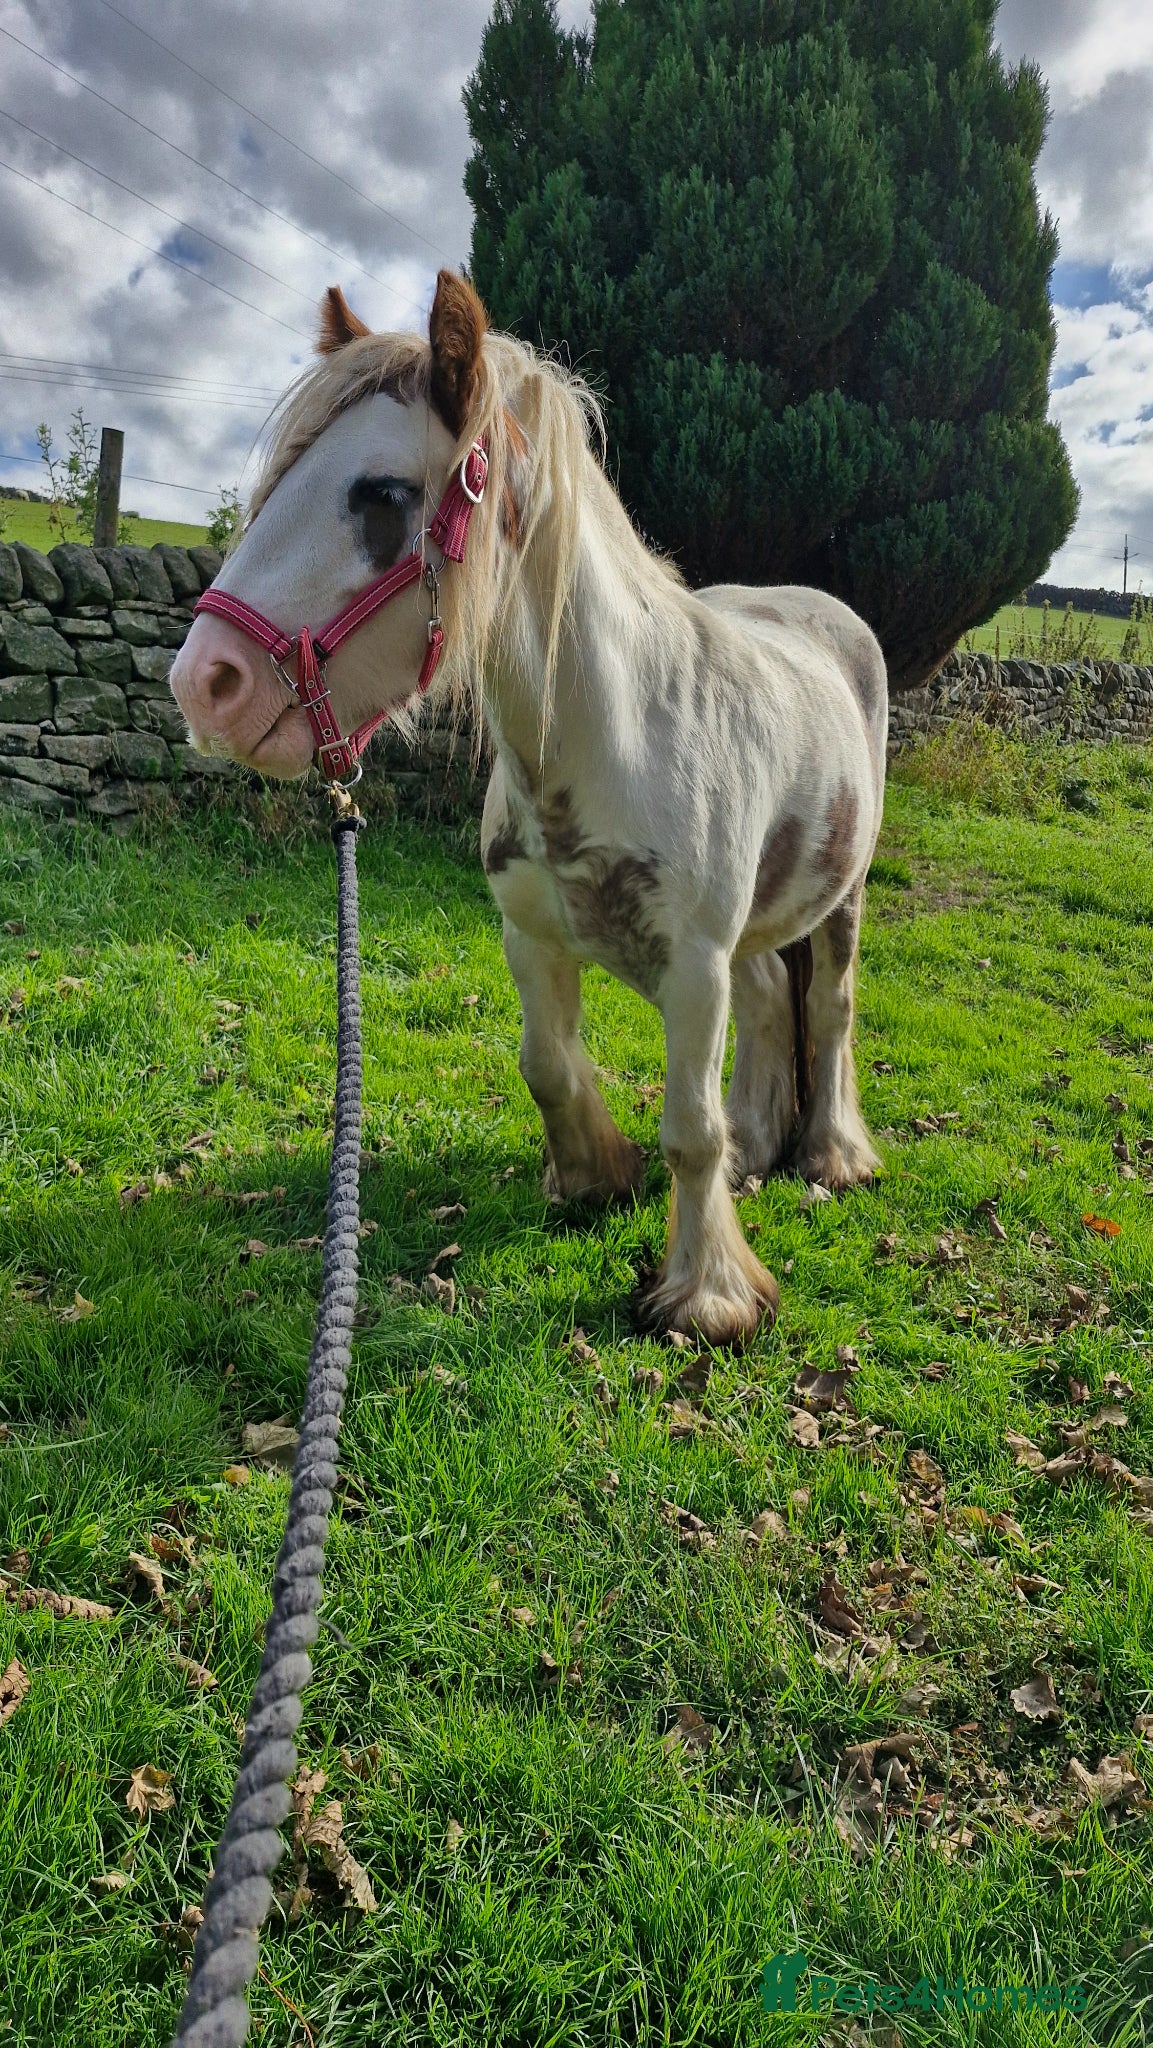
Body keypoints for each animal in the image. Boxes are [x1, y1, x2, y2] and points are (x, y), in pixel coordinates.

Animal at [170, 270, 887, 1348]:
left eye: (381, 493)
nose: (202, 685)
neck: (609, 739)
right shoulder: (530, 937)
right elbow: (547, 1064)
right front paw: (597, 1172)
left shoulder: (694, 967)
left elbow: (689, 1128)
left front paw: (709, 1295)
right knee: (771, 998)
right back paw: (761, 1144)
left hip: (839, 898)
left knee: (829, 1009)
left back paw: (832, 1153)